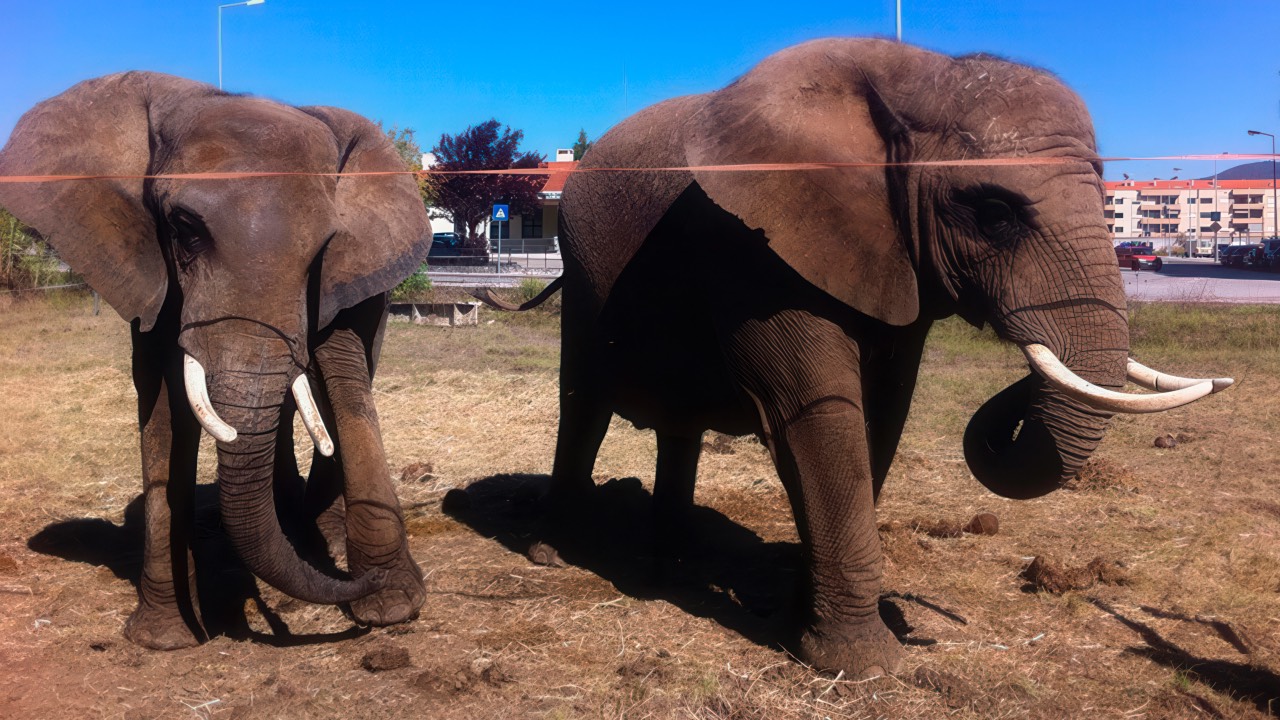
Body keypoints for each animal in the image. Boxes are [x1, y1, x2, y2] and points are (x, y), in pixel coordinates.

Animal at [0, 72, 432, 649]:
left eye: (322, 247)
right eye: (185, 229)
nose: (362, 586)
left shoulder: (344, 271)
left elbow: (341, 372)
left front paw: (391, 605)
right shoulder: (151, 271)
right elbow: (163, 400)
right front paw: (165, 639)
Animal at [534, 39, 1232, 677]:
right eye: (995, 213)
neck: (922, 77)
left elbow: (883, 414)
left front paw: (801, 618)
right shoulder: (754, 250)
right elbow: (818, 412)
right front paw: (860, 664)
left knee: (676, 426)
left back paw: (674, 563)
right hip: (583, 267)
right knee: (583, 401)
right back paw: (556, 551)